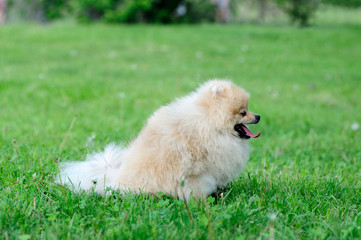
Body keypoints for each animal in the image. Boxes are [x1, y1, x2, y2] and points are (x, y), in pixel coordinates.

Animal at [60, 79, 260, 200]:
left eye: (248, 110)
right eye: (243, 113)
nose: (257, 116)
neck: (210, 123)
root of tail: (114, 179)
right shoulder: (196, 171)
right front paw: (202, 201)